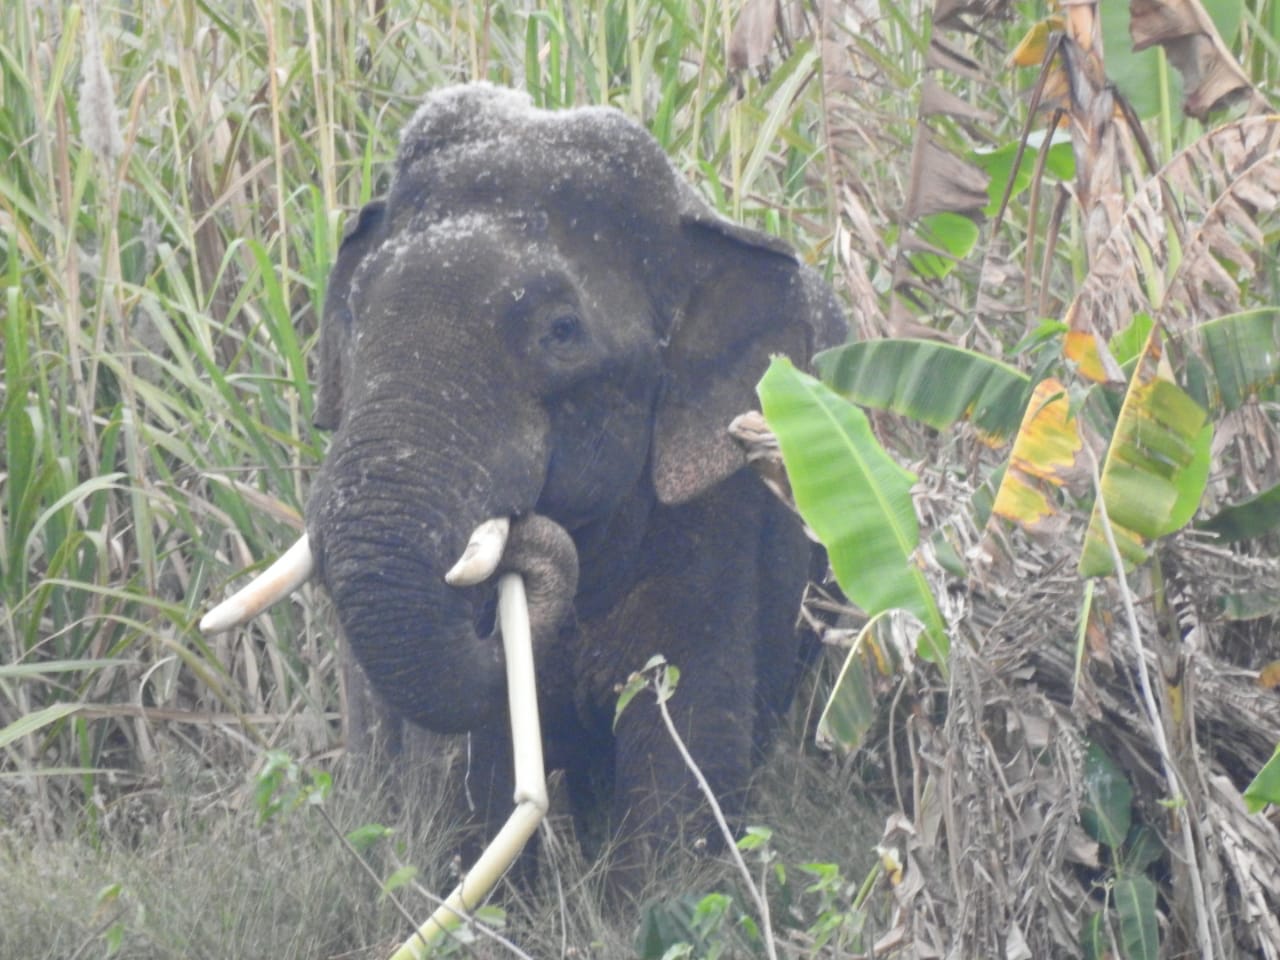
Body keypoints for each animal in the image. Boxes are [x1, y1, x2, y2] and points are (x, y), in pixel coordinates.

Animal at [226, 84, 844, 885]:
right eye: (354, 315)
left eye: (562, 332)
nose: (524, 536)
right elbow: (467, 766)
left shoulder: (721, 509)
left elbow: (685, 755)